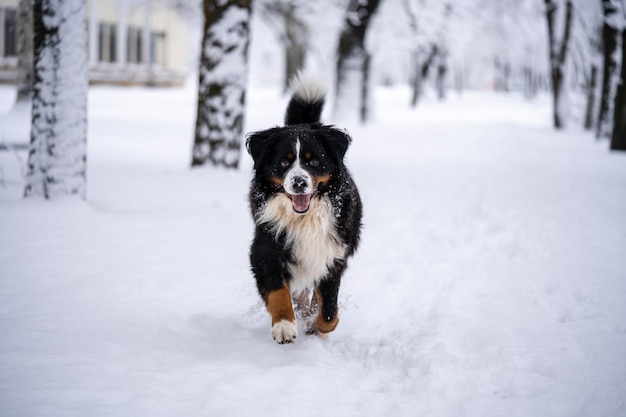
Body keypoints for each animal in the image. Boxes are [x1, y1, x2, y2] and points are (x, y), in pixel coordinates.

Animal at [244, 73, 360, 342]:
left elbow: (329, 311)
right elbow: (278, 291)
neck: (305, 219)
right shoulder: (265, 249)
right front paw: (284, 325)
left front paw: (317, 326)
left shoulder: (333, 254)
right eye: (284, 162)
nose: (299, 182)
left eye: (314, 161)